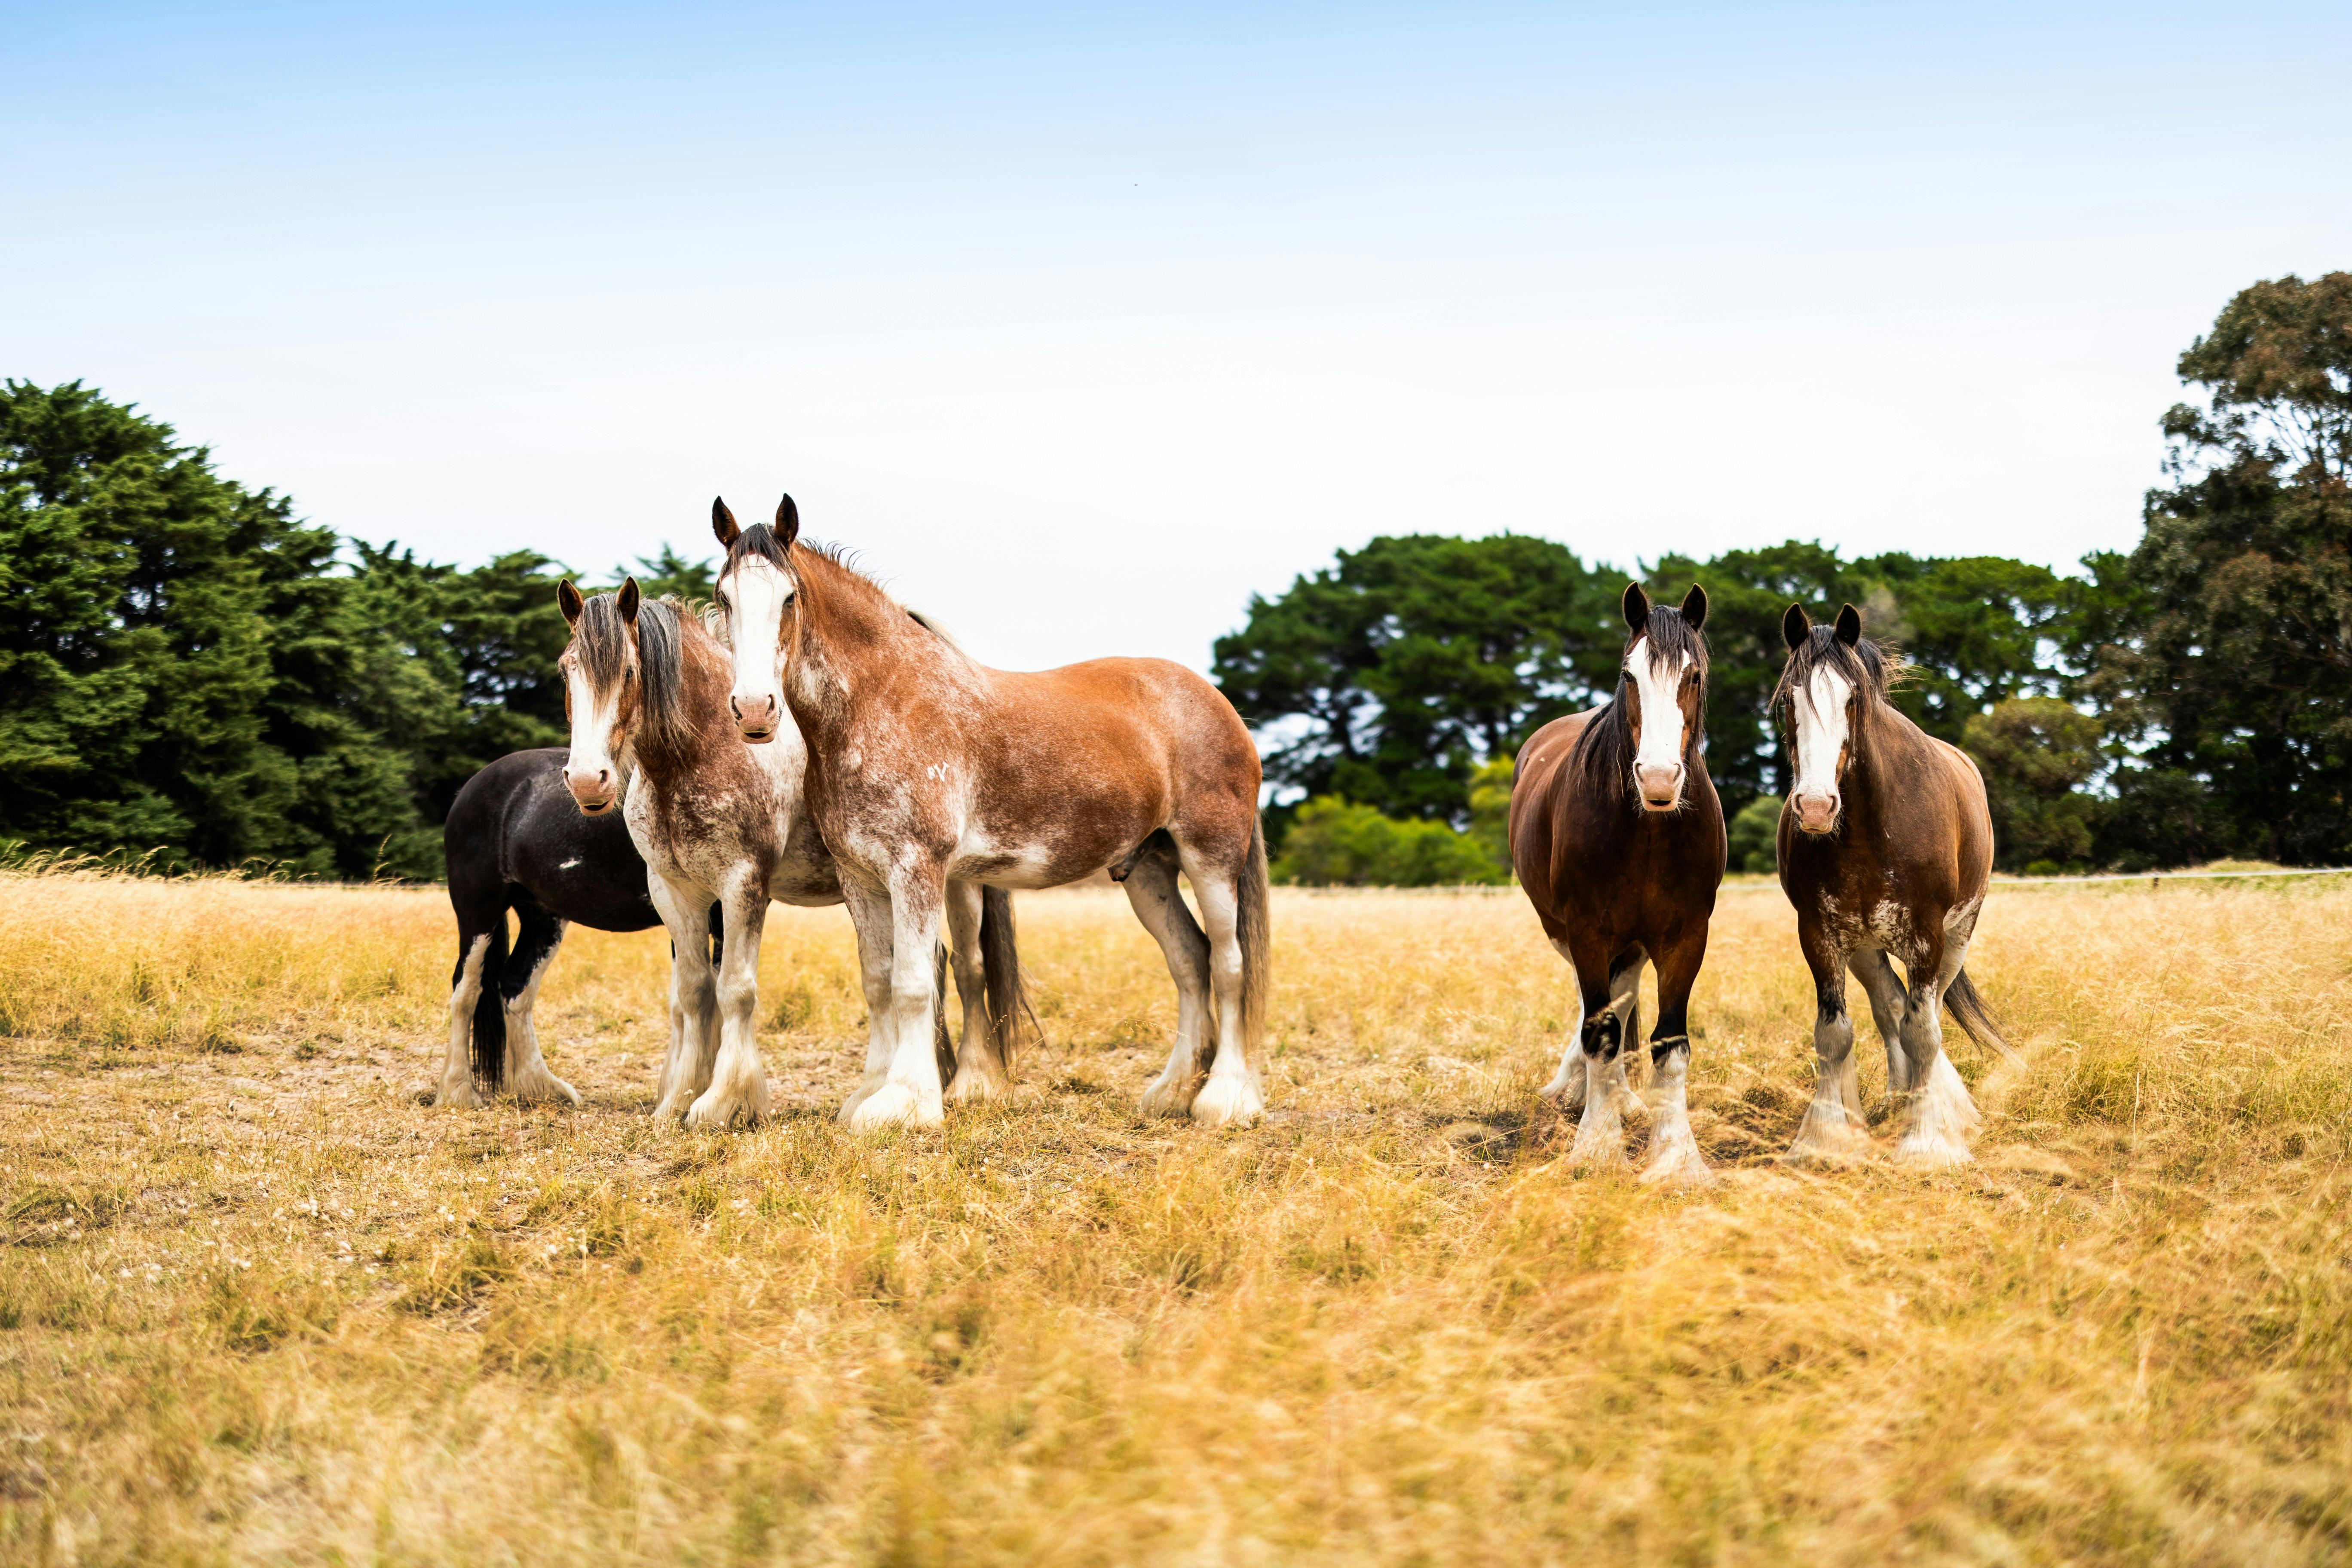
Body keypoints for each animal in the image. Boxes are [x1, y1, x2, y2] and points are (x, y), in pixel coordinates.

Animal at [435, 746, 721, 1109]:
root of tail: (470, 789)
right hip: (478, 911)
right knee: (466, 990)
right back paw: (458, 1091)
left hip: (543, 918)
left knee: (516, 985)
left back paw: (539, 1087)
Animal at [556, 579, 1025, 1128]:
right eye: (566, 669)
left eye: (630, 671)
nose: (588, 780)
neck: (705, 751)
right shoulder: (675, 892)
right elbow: (694, 993)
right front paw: (678, 1100)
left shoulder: (743, 885)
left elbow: (735, 989)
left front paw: (726, 1101)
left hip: (956, 884)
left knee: (970, 969)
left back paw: (972, 1082)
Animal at [709, 495, 1270, 1132]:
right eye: (724, 596)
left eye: (789, 597)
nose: (754, 709)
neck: (882, 702)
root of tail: (1219, 705)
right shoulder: (862, 877)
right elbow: (878, 982)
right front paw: (871, 1092)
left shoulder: (917, 869)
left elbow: (912, 982)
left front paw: (907, 1102)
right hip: (1147, 870)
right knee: (1190, 961)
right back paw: (1173, 1092)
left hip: (1211, 859)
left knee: (1229, 963)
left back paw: (1226, 1098)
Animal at [1508, 583, 1724, 1184]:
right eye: (1630, 676)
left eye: (1693, 676)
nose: (1659, 778)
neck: (1648, 828)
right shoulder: (1586, 931)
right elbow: (1599, 1031)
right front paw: (1597, 1148)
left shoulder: (1684, 938)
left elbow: (1669, 1044)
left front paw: (1676, 1158)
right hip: (1564, 931)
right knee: (1595, 1010)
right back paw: (1578, 1090)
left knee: (1622, 998)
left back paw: (1621, 1099)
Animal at [1773, 601, 2017, 1167]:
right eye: (1787, 700)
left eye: (1853, 699)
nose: (1815, 807)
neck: (1871, 825)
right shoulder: (1817, 934)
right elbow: (1835, 1034)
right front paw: (1826, 1138)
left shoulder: (1928, 935)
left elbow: (1924, 1031)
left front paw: (1928, 1141)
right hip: (1864, 947)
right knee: (1890, 1010)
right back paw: (1888, 1103)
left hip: (1957, 935)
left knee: (1924, 1012)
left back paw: (1943, 1107)